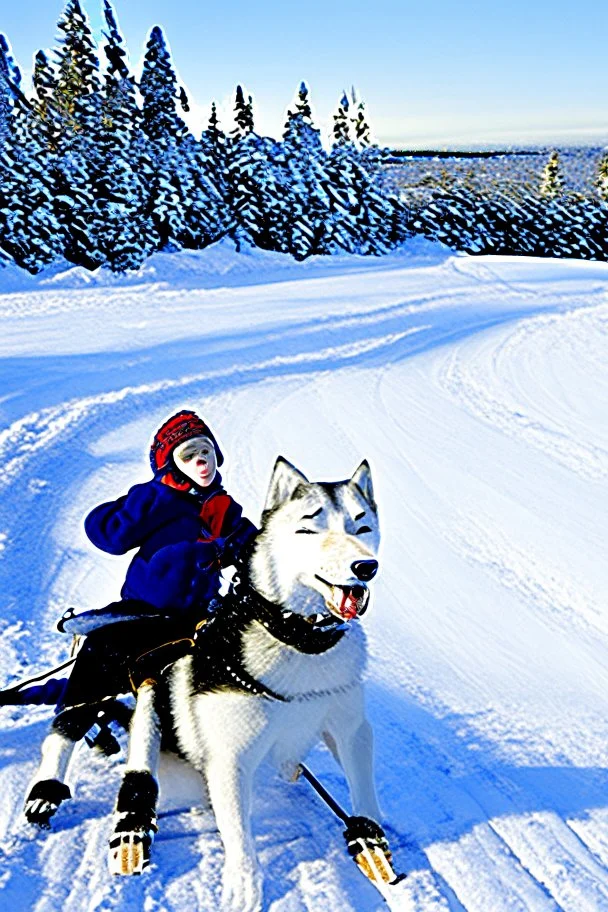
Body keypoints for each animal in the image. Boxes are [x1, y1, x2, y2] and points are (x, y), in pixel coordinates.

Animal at [27, 456, 384, 912]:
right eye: (310, 528)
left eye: (362, 527)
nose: (365, 567)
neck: (299, 640)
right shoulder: (231, 757)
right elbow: (239, 835)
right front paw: (244, 884)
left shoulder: (350, 727)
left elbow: (363, 788)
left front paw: (373, 838)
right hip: (96, 683)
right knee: (67, 731)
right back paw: (54, 794)